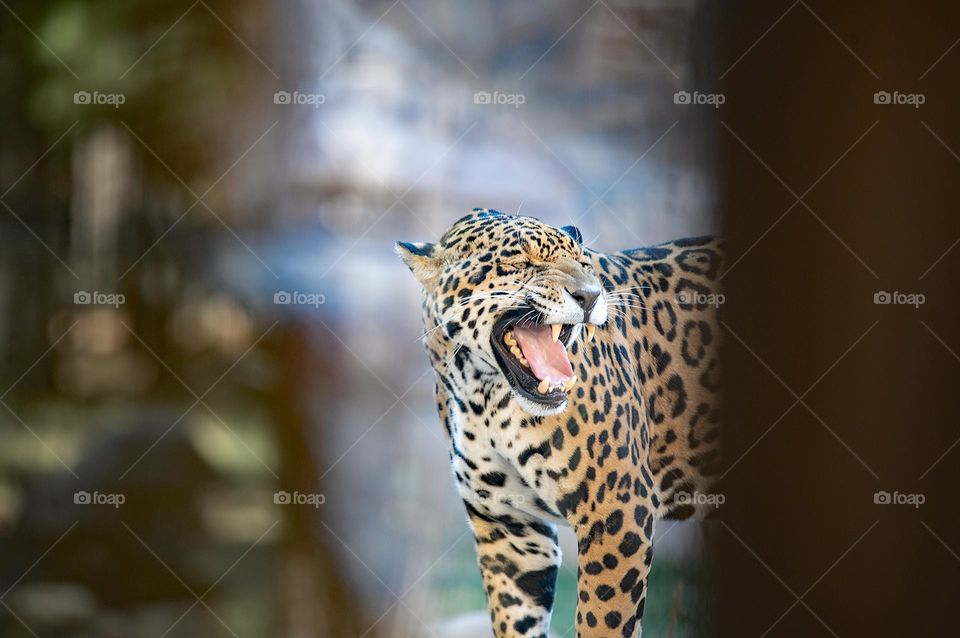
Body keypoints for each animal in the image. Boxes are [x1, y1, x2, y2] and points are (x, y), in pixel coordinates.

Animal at [396, 209, 722, 638]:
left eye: (584, 263)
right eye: (521, 263)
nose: (590, 296)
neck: (484, 397)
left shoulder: (617, 509)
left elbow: (602, 619)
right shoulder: (510, 532)